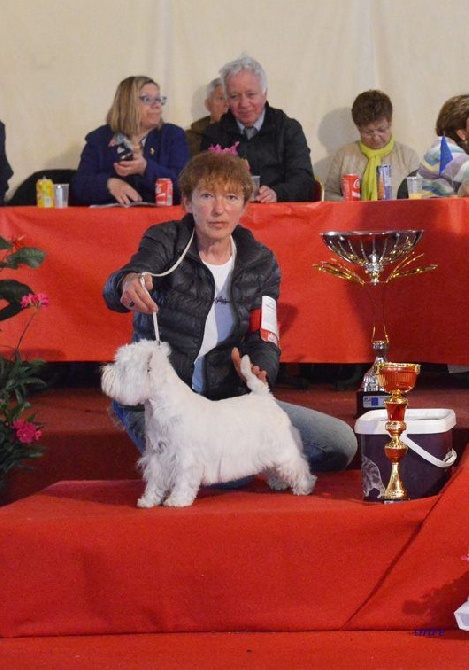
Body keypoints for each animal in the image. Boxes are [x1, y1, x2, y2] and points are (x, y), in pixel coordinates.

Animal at [100, 342, 316, 510]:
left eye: (123, 368)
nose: (103, 371)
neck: (159, 407)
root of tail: (264, 396)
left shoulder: (185, 458)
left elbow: (183, 480)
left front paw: (176, 500)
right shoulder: (156, 455)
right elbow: (154, 480)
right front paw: (148, 500)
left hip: (282, 447)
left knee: (297, 466)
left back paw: (304, 487)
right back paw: (279, 483)